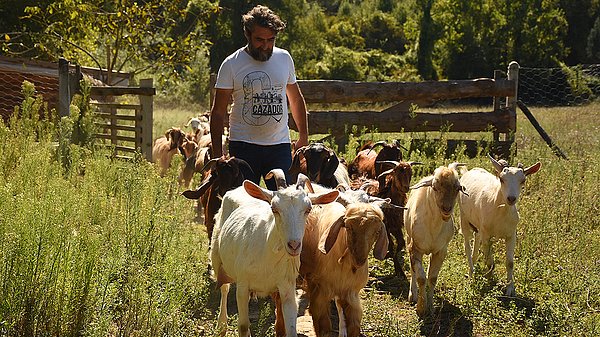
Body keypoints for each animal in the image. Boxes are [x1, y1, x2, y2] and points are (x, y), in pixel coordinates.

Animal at [212, 171, 340, 336]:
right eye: (274, 209)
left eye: (308, 209)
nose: (294, 245)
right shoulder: (242, 285)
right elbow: (243, 326)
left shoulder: (287, 287)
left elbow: (291, 327)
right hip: (217, 256)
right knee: (224, 288)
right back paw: (221, 325)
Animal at [404, 161, 468, 316]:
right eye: (434, 187)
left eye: (458, 188)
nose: (446, 209)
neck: (433, 226)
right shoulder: (415, 248)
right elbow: (420, 277)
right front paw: (421, 308)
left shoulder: (440, 251)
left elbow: (432, 278)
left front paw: (431, 307)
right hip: (408, 238)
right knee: (413, 269)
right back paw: (412, 295)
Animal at [460, 154, 544, 296]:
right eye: (501, 178)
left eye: (523, 180)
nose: (511, 198)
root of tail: (470, 171)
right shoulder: (487, 235)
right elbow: (489, 261)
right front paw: (490, 280)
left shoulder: (511, 235)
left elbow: (510, 263)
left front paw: (510, 289)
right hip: (464, 218)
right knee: (467, 244)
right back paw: (471, 274)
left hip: (478, 225)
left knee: (476, 241)